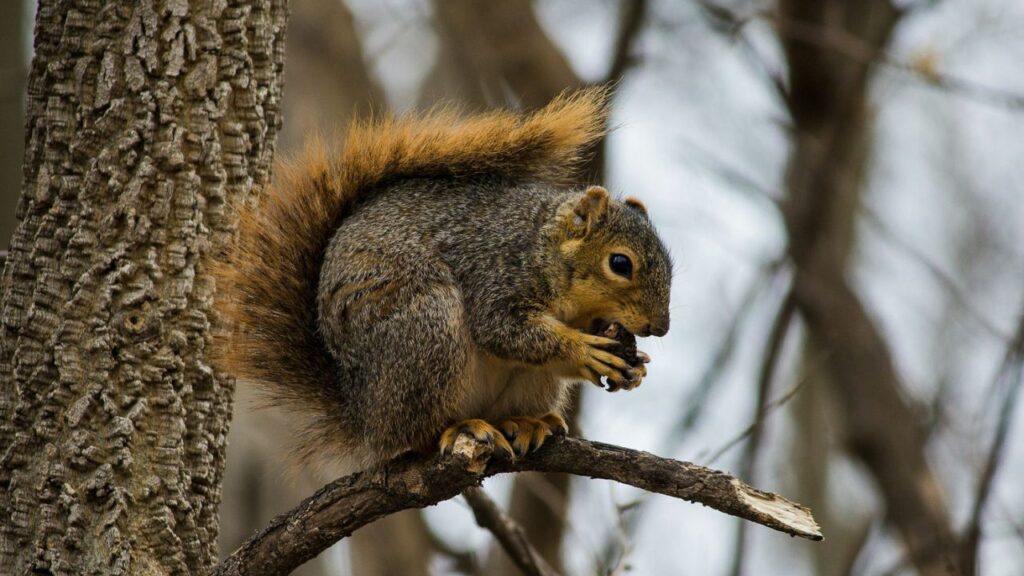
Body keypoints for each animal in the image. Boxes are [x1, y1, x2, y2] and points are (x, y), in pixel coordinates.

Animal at [213, 88, 672, 468]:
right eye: (620, 263)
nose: (660, 328)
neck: (544, 247)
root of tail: (364, 417)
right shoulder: (495, 271)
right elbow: (505, 331)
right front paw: (584, 351)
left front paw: (634, 367)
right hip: (428, 332)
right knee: (417, 434)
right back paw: (458, 428)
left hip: (527, 381)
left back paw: (526, 422)